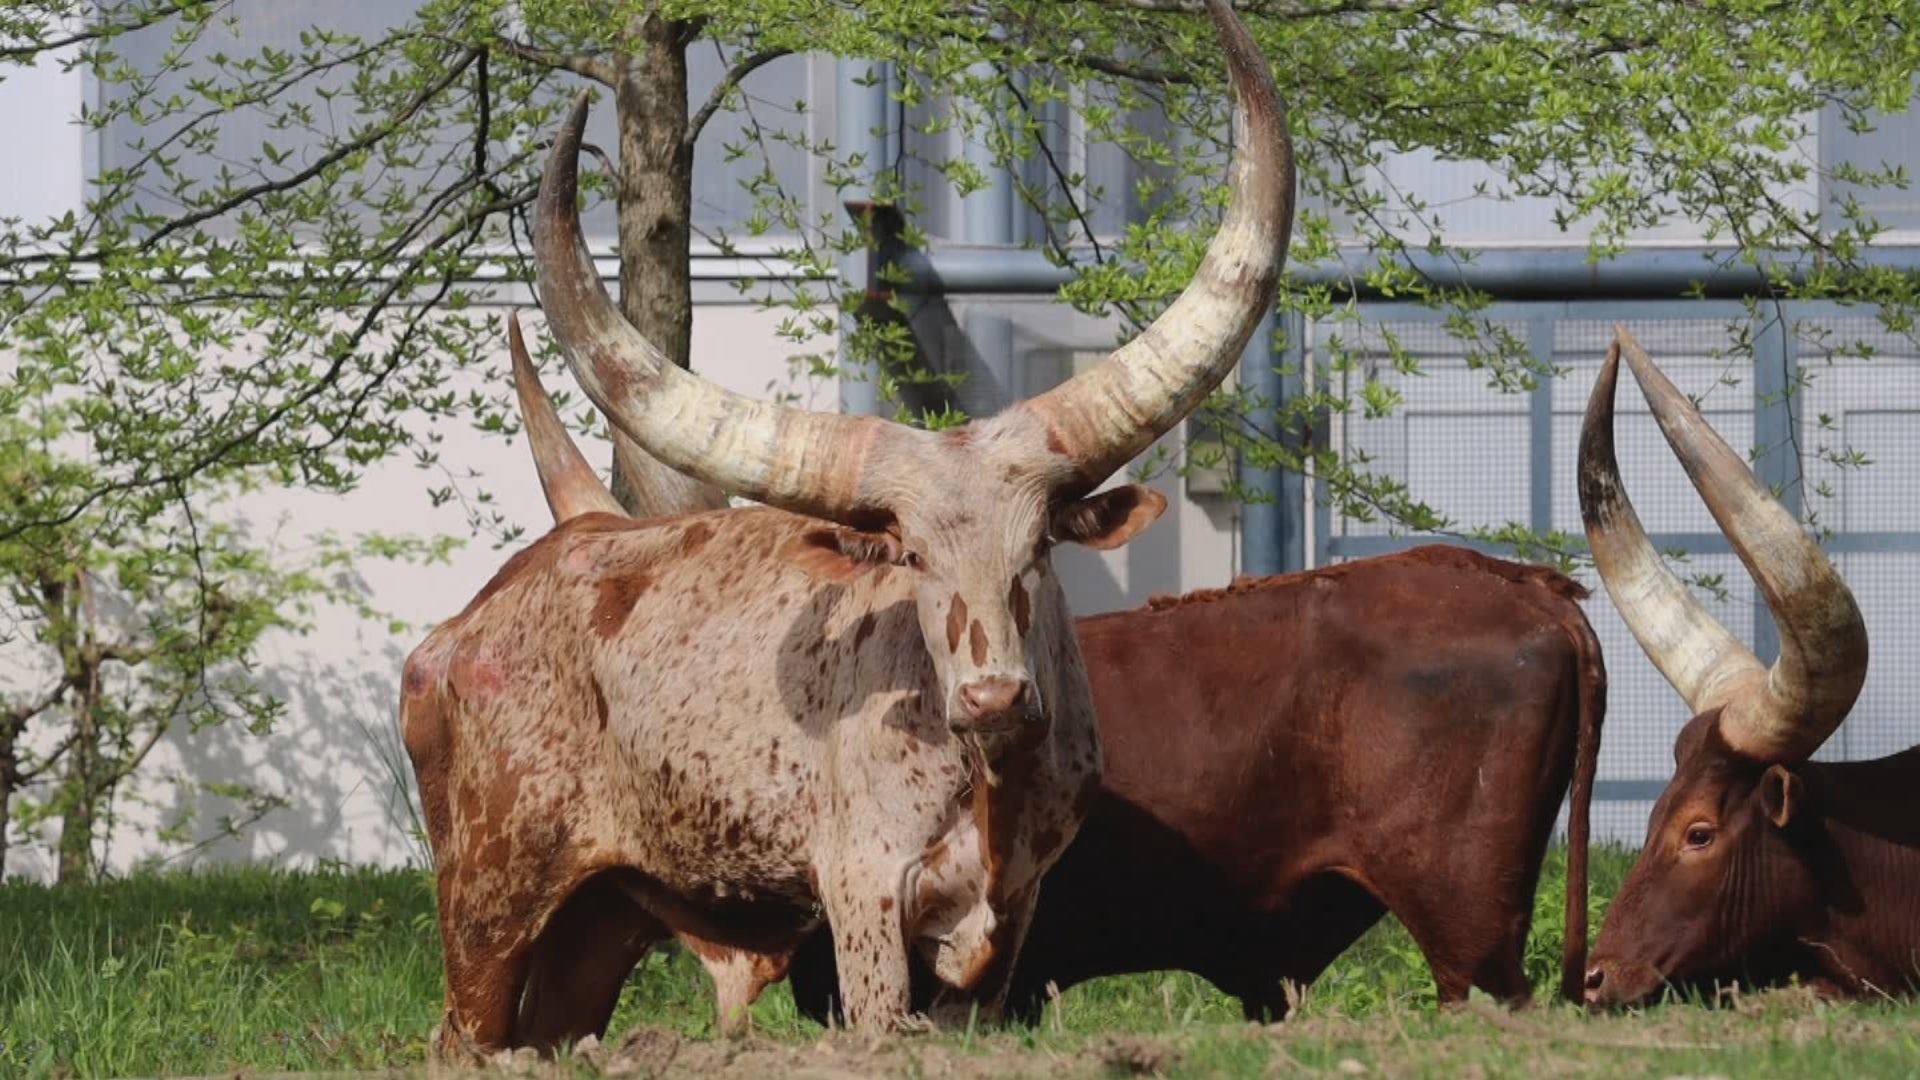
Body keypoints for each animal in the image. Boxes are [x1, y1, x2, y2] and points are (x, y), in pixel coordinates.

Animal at [399, 0, 1297, 1045]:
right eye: (910, 557)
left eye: (1039, 548)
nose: (993, 695)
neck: (986, 788)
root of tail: (476, 616)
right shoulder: (862, 893)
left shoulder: (1012, 919)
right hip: (488, 898)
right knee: (462, 1032)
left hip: (600, 921)